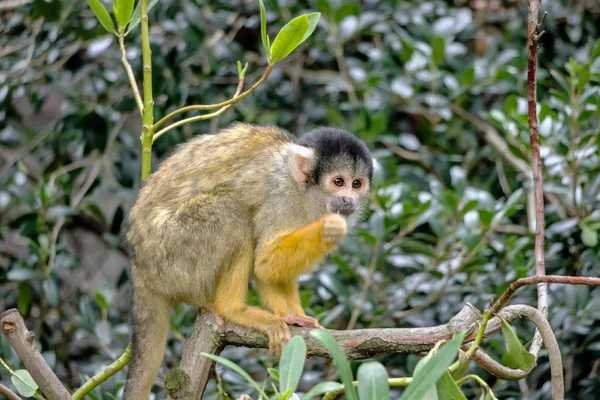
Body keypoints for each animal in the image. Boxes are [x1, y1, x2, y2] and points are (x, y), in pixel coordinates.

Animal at [124, 123, 372, 398]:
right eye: (339, 182)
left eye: (356, 184)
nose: (349, 200)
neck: (304, 191)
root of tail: (138, 265)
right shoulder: (282, 197)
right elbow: (265, 262)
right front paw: (329, 229)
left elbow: (269, 272)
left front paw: (293, 315)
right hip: (168, 251)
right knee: (234, 212)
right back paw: (233, 308)